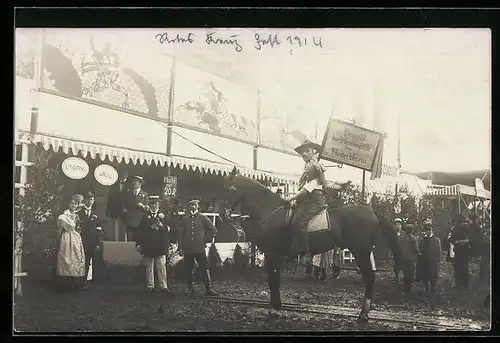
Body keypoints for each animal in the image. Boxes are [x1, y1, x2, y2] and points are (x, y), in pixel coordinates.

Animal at [225, 169, 408, 326]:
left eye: (231, 188)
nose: (225, 213)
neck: (272, 212)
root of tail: (371, 211)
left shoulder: (273, 254)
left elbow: (273, 280)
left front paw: (275, 310)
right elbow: (273, 281)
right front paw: (276, 307)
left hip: (361, 251)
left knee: (369, 278)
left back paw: (363, 315)